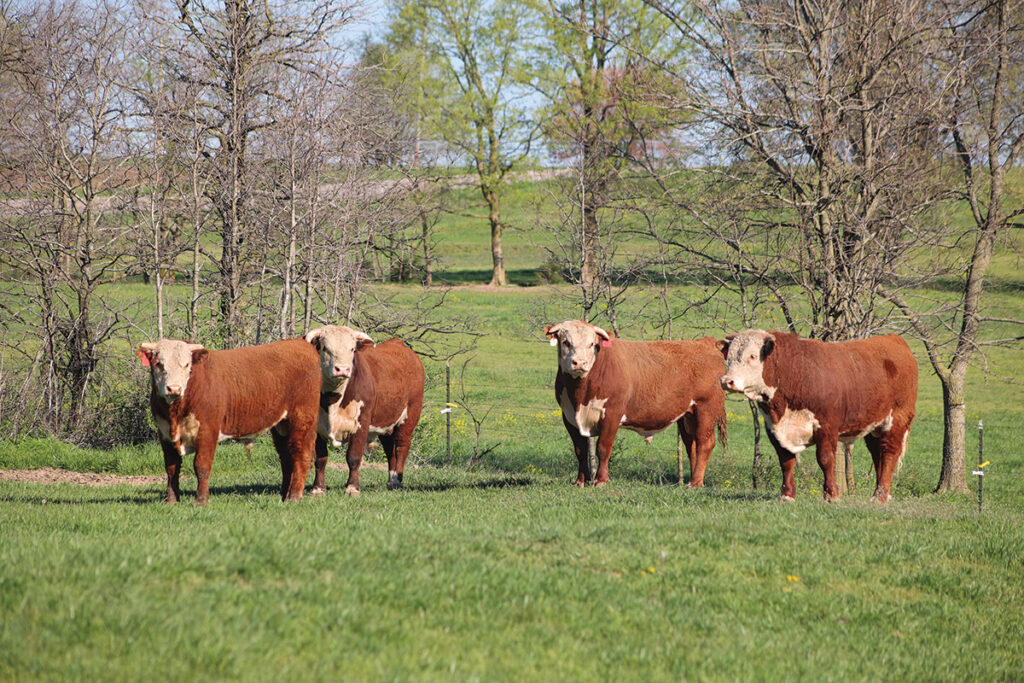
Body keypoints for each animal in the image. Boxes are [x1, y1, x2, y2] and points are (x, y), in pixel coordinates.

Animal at [136, 337, 319, 505]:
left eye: (187, 364)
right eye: (159, 364)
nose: (174, 388)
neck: (176, 413)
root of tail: (298, 342)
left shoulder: (207, 431)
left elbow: (201, 466)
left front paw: (201, 500)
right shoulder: (165, 433)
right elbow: (171, 468)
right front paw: (171, 501)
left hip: (302, 420)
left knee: (300, 455)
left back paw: (294, 497)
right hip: (281, 426)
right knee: (286, 458)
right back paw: (284, 496)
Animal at [307, 325, 428, 497]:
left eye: (352, 349)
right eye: (325, 348)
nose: (342, 369)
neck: (333, 401)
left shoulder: (361, 424)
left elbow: (354, 457)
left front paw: (352, 488)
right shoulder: (318, 427)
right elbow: (320, 459)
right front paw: (318, 489)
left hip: (409, 416)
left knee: (401, 446)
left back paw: (397, 481)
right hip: (386, 423)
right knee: (390, 449)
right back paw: (391, 481)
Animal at [544, 319, 729, 485]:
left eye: (591, 344)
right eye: (566, 342)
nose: (580, 363)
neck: (581, 398)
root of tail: (706, 343)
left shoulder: (612, 414)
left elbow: (603, 448)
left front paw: (601, 480)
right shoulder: (569, 417)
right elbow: (580, 450)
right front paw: (580, 481)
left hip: (706, 409)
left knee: (704, 444)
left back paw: (696, 482)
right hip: (687, 416)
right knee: (691, 445)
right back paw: (693, 480)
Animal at [716, 327, 917, 505]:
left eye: (752, 356)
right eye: (729, 356)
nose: (726, 381)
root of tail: (893, 339)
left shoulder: (826, 426)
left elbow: (825, 459)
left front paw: (831, 495)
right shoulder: (773, 428)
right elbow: (786, 460)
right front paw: (787, 495)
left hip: (896, 419)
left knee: (889, 453)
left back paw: (879, 496)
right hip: (874, 425)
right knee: (878, 454)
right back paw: (884, 494)